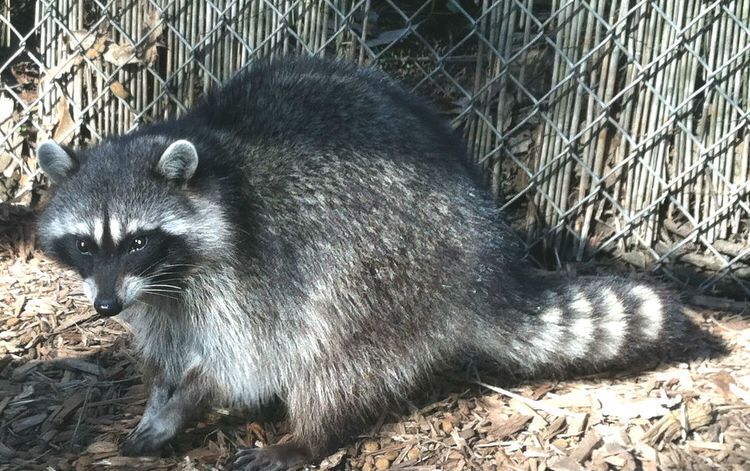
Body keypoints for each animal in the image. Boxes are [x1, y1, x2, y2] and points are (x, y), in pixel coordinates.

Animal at [36, 57, 685, 470]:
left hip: (383, 263)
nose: (104, 306)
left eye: (138, 241)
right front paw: (163, 406)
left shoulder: (249, 273)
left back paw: (310, 434)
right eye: (86, 245)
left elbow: (242, 362)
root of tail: (482, 267)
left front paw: (195, 397)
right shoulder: (157, 297)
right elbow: (170, 350)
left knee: (333, 350)